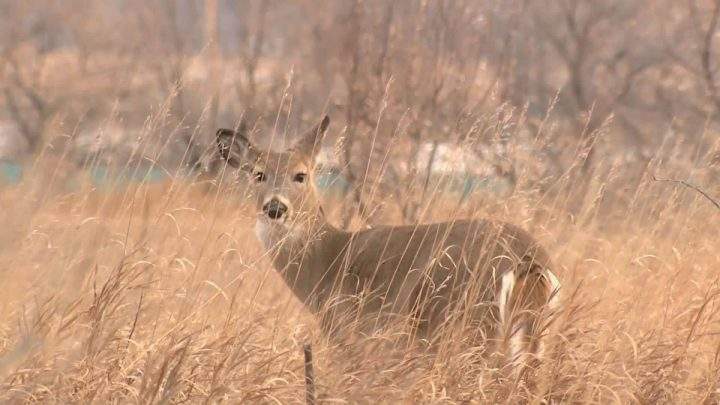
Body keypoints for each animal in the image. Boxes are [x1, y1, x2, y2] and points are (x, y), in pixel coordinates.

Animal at [215, 115, 561, 364]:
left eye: (300, 175)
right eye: (258, 174)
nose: (275, 207)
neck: (327, 262)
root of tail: (527, 258)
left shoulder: (350, 334)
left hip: (464, 324)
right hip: (534, 333)